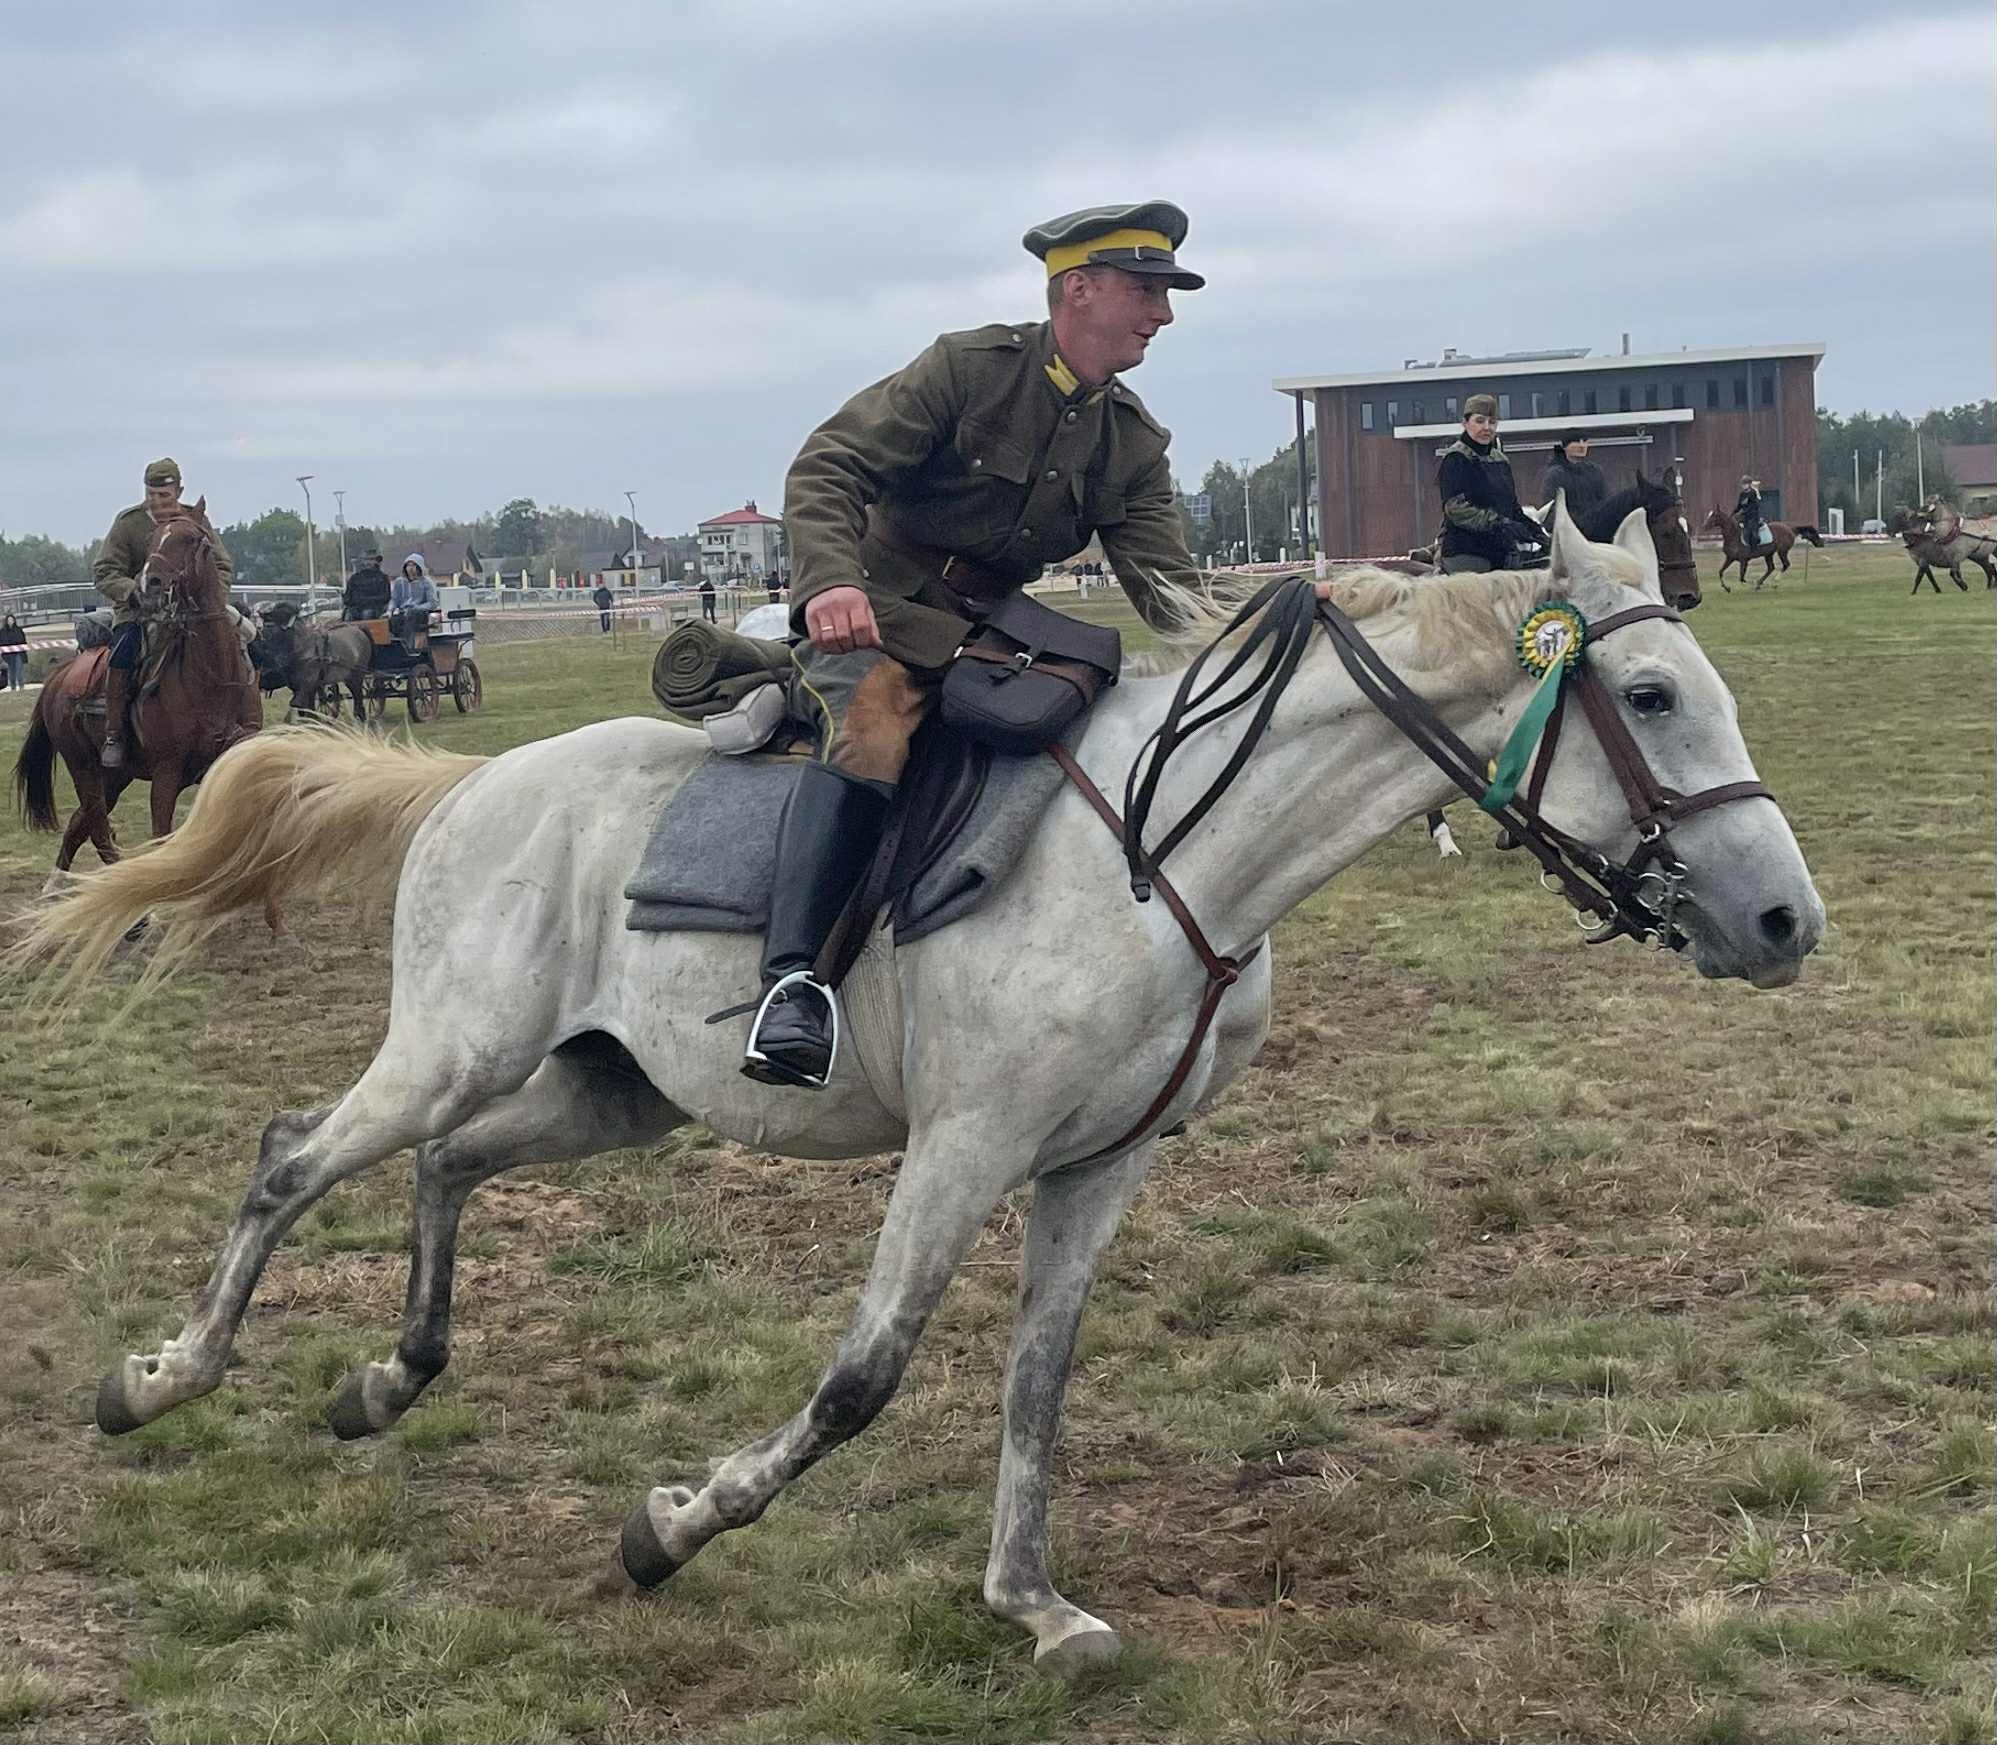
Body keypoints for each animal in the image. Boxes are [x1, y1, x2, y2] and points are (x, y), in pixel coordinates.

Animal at [13, 499, 262, 888]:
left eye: (193, 538)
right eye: (152, 540)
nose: (150, 583)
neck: (213, 678)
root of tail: (60, 674)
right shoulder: (166, 774)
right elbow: (163, 837)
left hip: (114, 776)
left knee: (80, 824)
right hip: (84, 768)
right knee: (97, 828)